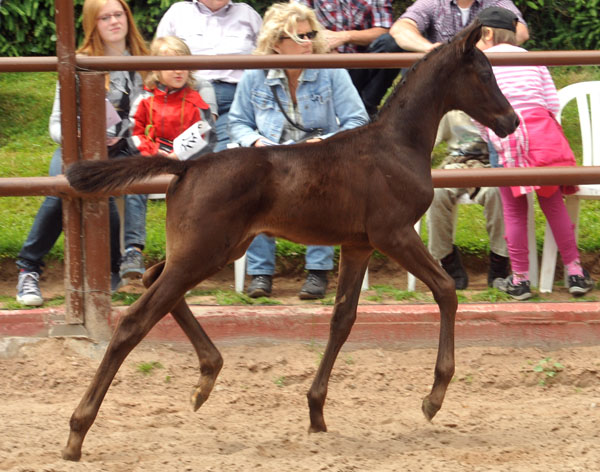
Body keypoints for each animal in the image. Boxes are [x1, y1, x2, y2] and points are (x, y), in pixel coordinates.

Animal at [62, 20, 520, 460]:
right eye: (484, 73)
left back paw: (207, 375)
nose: (511, 121)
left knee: (154, 278)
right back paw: (77, 432)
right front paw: (433, 399)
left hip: (213, 249)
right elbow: (444, 290)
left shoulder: (358, 244)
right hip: (205, 251)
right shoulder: (394, 233)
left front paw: (316, 410)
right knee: (135, 319)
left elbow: (343, 318)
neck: (397, 144)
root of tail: (186, 167)